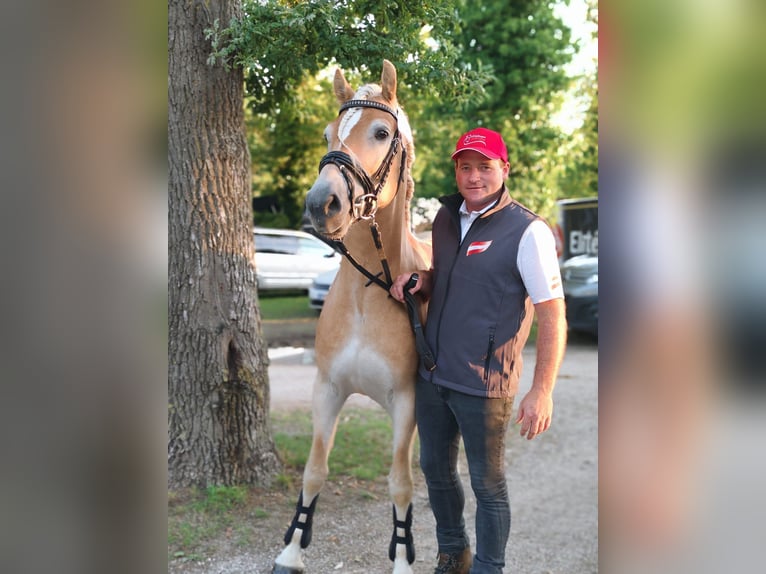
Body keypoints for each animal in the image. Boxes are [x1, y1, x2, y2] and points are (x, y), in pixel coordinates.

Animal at [272, 60, 432, 572]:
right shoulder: (327, 390)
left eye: (381, 132)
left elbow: (400, 483)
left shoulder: (407, 401)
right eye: (327, 134)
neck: (368, 294)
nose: (321, 204)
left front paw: (402, 558)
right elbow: (314, 471)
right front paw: (292, 548)